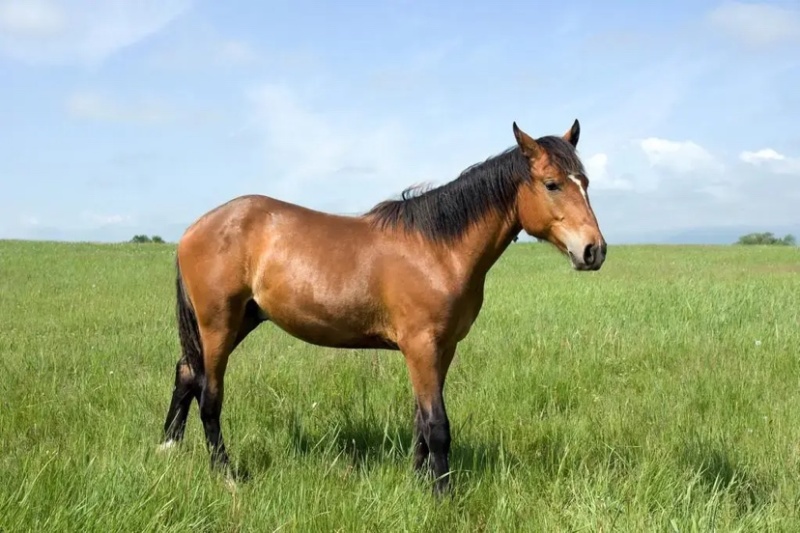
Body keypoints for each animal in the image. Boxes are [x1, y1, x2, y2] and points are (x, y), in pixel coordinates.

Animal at [159, 120, 607, 496]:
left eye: (585, 182)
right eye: (552, 184)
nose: (594, 251)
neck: (437, 249)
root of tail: (194, 229)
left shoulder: (443, 348)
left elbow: (420, 421)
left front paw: (418, 482)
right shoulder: (420, 346)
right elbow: (437, 424)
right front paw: (443, 495)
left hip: (240, 320)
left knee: (186, 375)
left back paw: (168, 448)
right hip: (218, 324)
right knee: (209, 395)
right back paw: (226, 474)